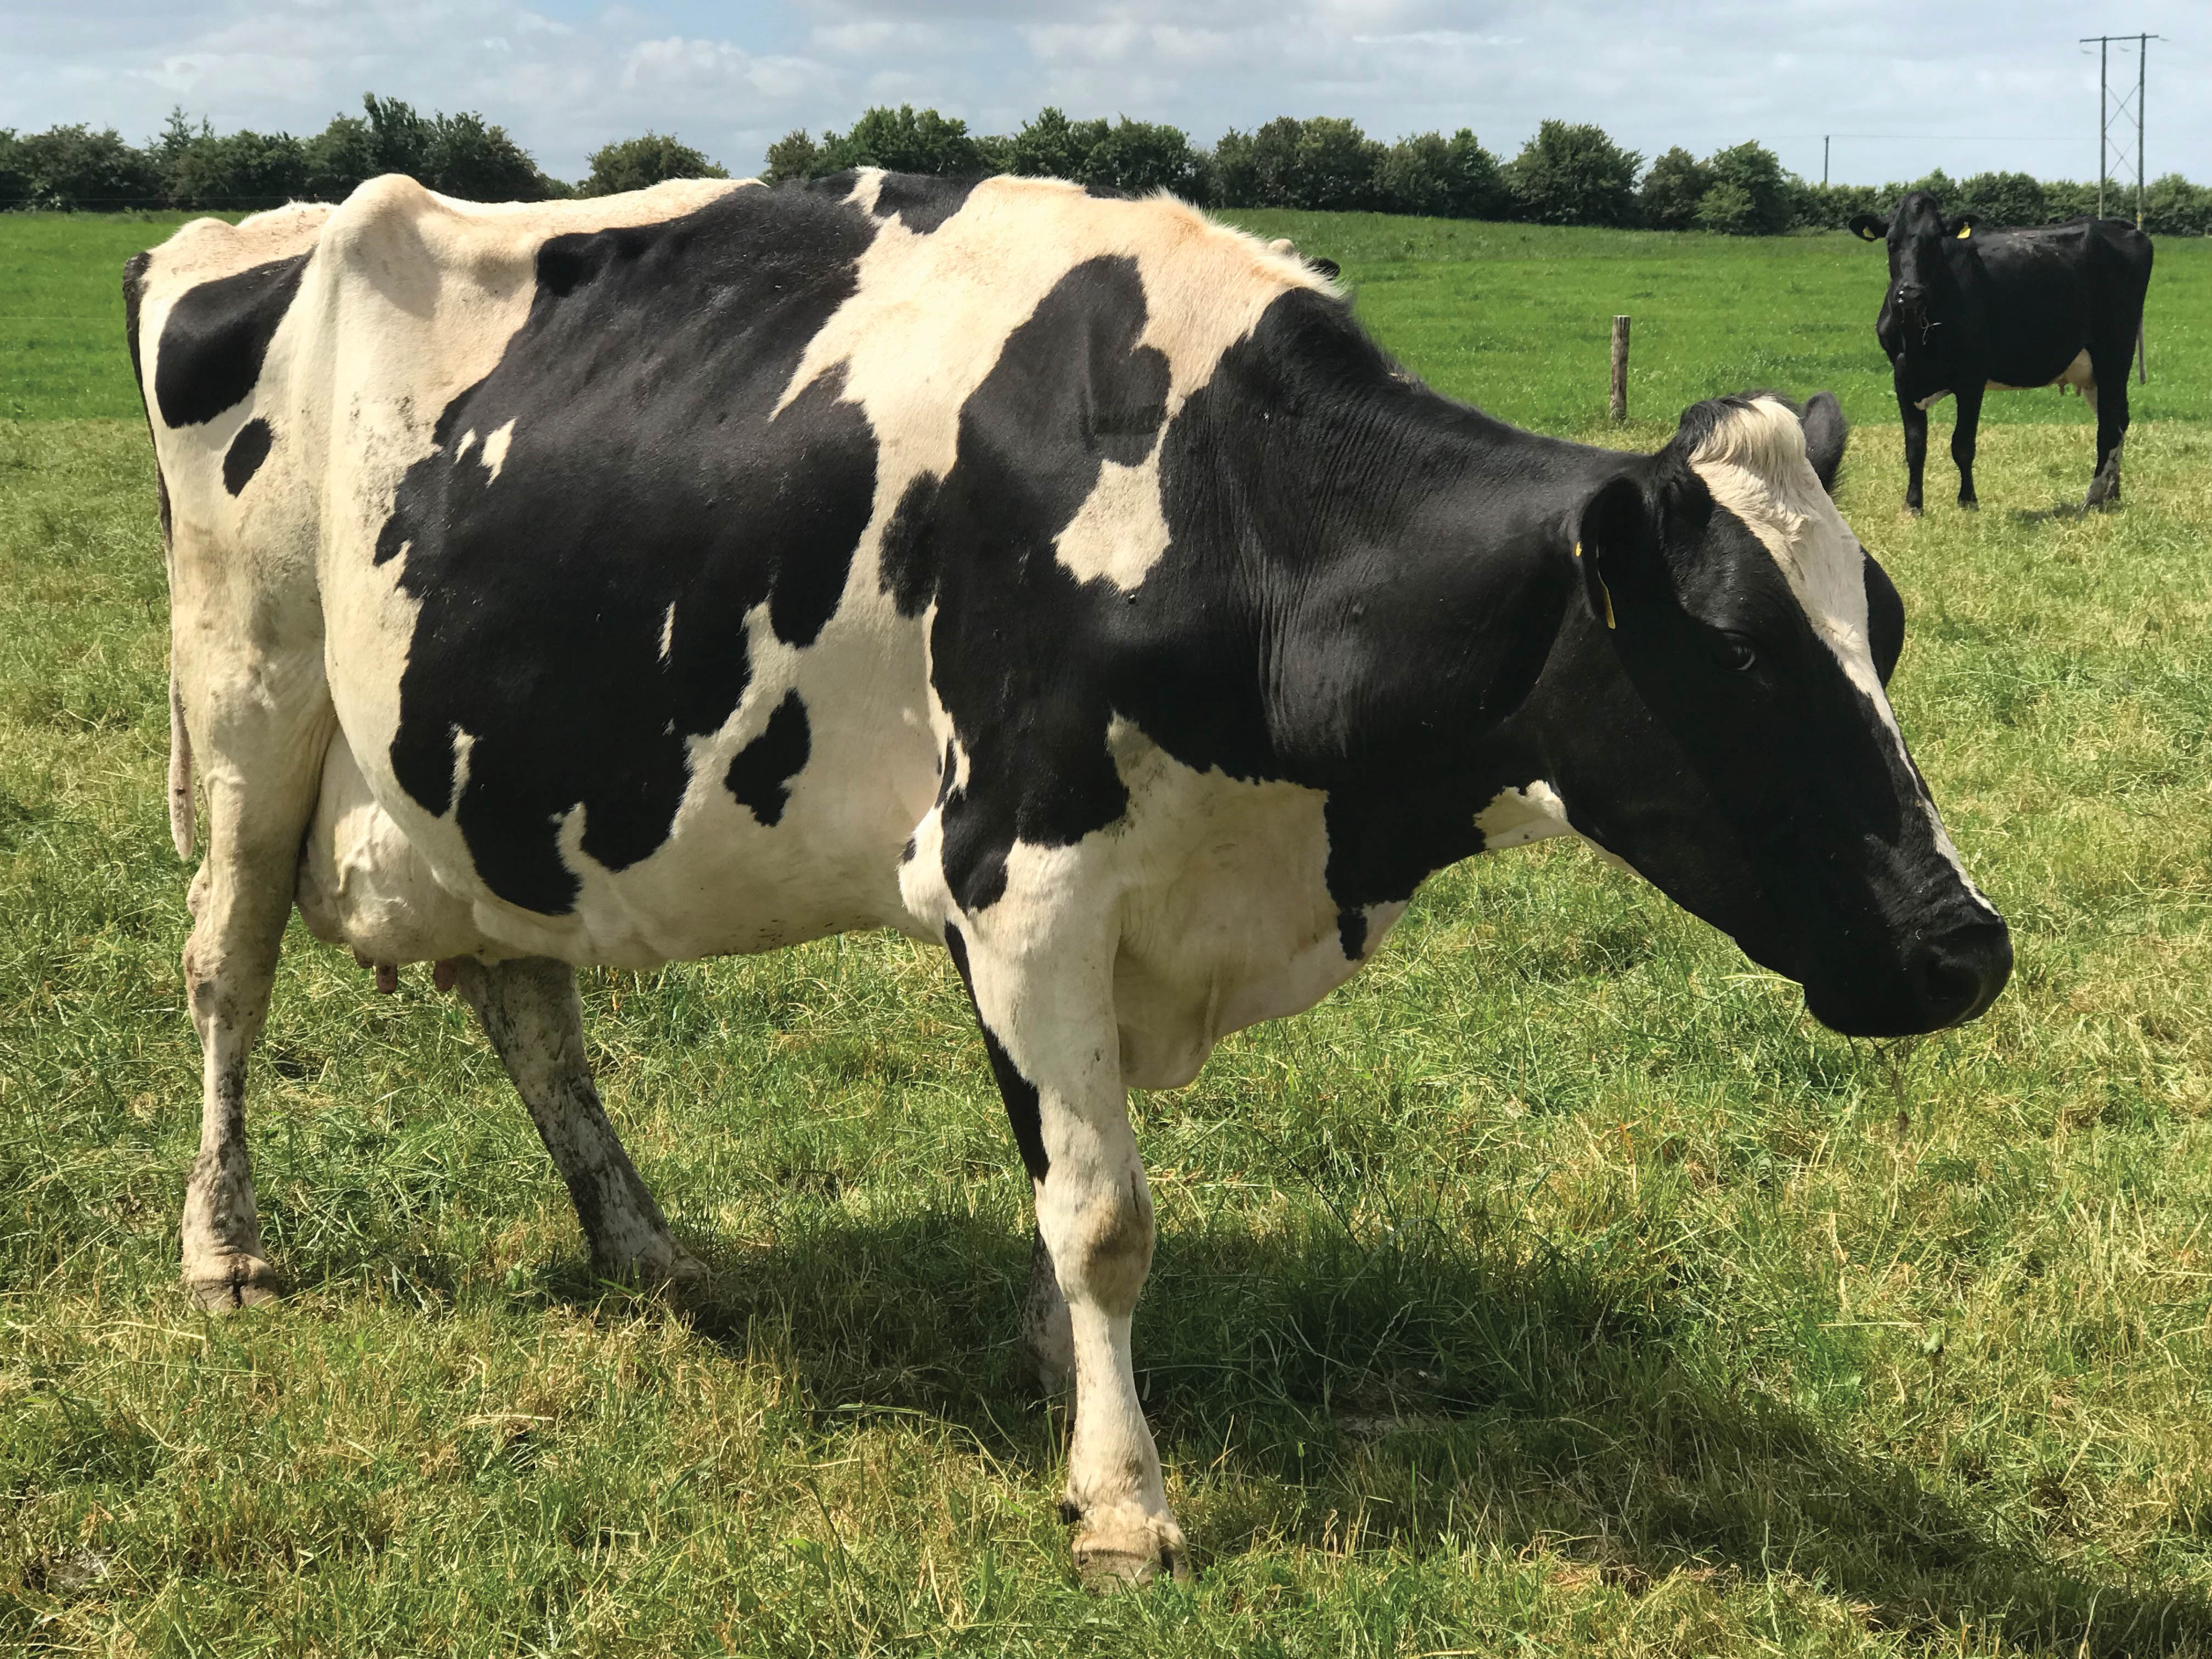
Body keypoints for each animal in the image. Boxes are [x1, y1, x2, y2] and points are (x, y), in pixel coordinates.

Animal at [129, 169, 2017, 1583]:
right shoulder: (1016, 870)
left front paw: (1054, 1371)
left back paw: (645, 1244)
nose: (1968, 950)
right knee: (228, 972)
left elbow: (1053, 1173)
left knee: (529, 1002)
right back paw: (224, 1251)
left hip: (483, 781)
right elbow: (1104, 1211)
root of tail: (239, 231)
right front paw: (1121, 1494)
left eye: (1887, 628)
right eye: (1743, 664)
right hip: (252, 708)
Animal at [1840, 192, 2150, 513]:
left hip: (2114, 352)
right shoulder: (1902, 374)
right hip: (2096, 371)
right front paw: (1913, 505)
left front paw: (1968, 502)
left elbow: (1962, 444)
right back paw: (2112, 493)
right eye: (1891, 241)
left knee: (2110, 428)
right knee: (2118, 419)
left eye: (1935, 241)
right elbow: (1915, 445)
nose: (1910, 294)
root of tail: (2117, 226)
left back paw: (2092, 498)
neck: (1921, 336)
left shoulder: (1971, 377)